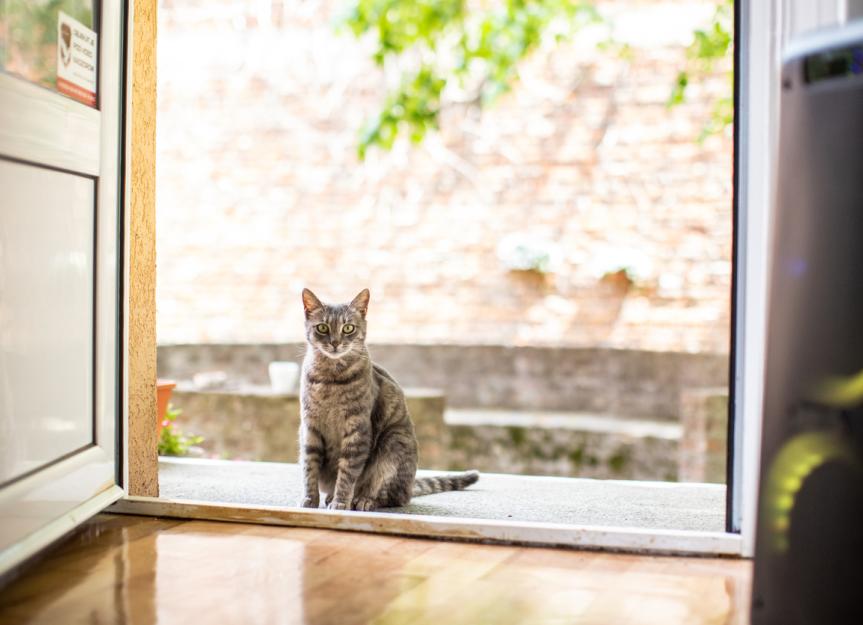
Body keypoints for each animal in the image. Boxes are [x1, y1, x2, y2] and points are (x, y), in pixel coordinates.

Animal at [298, 290, 480, 510]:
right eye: (322, 327)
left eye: (348, 328)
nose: (334, 343)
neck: (330, 379)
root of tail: (410, 486)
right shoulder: (310, 428)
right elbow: (309, 469)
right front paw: (310, 499)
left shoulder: (357, 429)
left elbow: (347, 473)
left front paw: (341, 501)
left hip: (393, 442)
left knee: (393, 496)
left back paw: (363, 500)